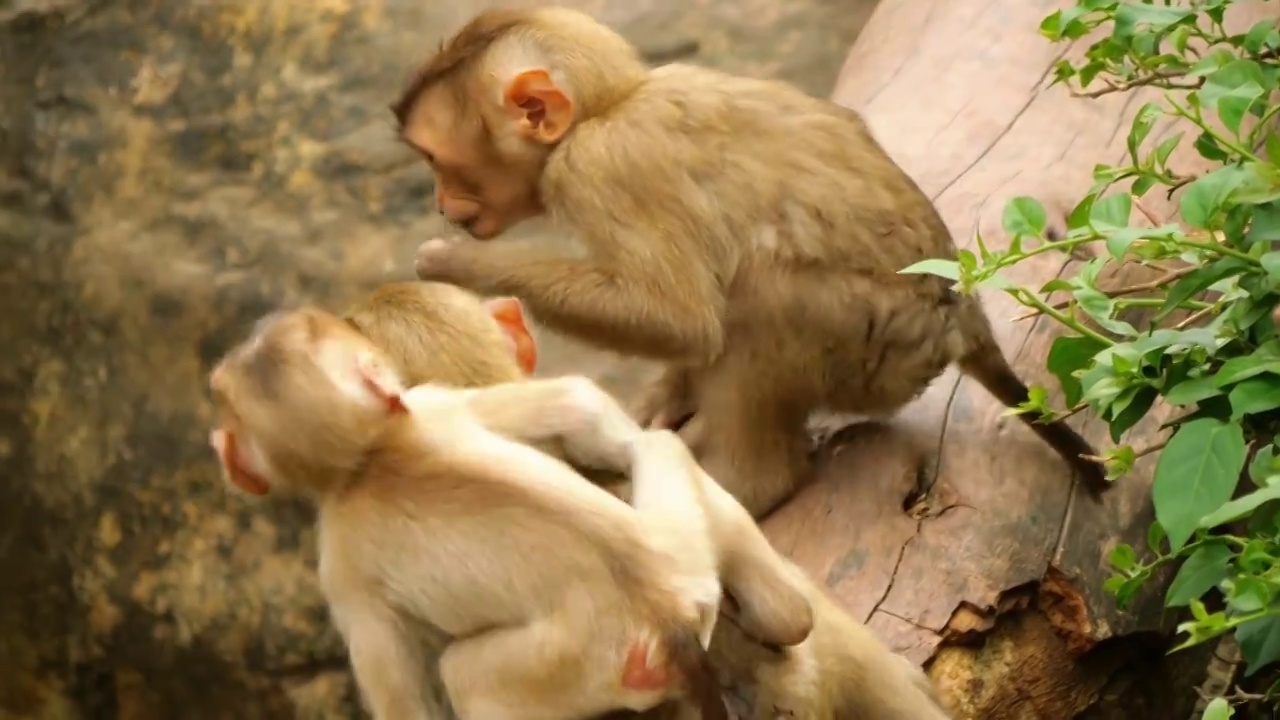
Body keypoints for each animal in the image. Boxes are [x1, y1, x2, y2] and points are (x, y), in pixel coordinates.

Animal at [208, 303, 732, 717]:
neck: (368, 456)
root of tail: (667, 617)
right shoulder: (434, 404)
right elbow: (575, 402)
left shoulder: (341, 570)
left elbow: (404, 708)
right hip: (687, 569)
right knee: (659, 447)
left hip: (589, 660)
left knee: (465, 679)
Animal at [399, 5, 1111, 515]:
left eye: (436, 158)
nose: (439, 202)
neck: (613, 104)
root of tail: (963, 317)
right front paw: (670, 393)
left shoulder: (603, 166)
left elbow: (681, 319)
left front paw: (455, 265)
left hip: (880, 348)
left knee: (764, 296)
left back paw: (751, 485)